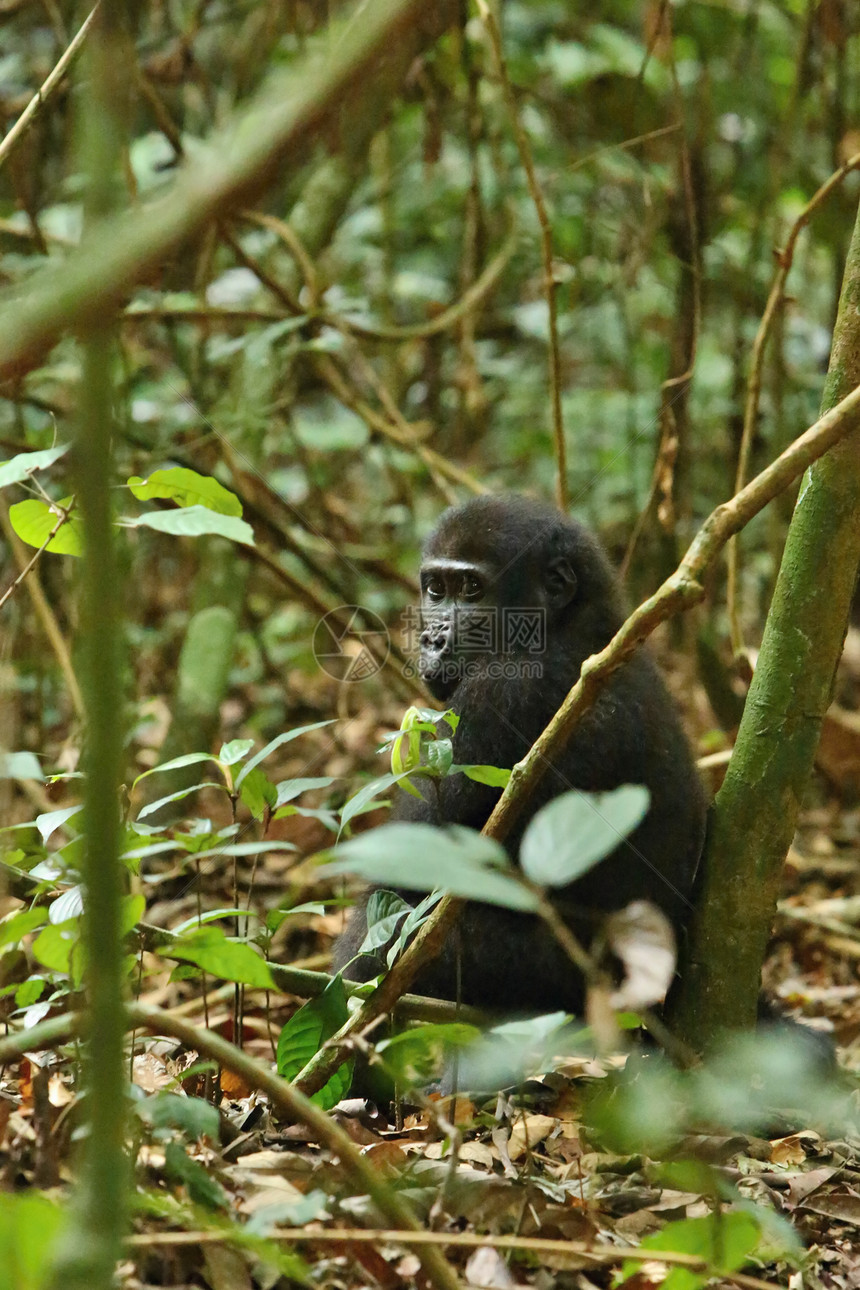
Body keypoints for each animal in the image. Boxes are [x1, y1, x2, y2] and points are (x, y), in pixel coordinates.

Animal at [332, 490, 706, 1006]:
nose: (431, 639)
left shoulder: (503, 693)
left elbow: (408, 868)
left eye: (472, 589)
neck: (574, 626)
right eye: (436, 590)